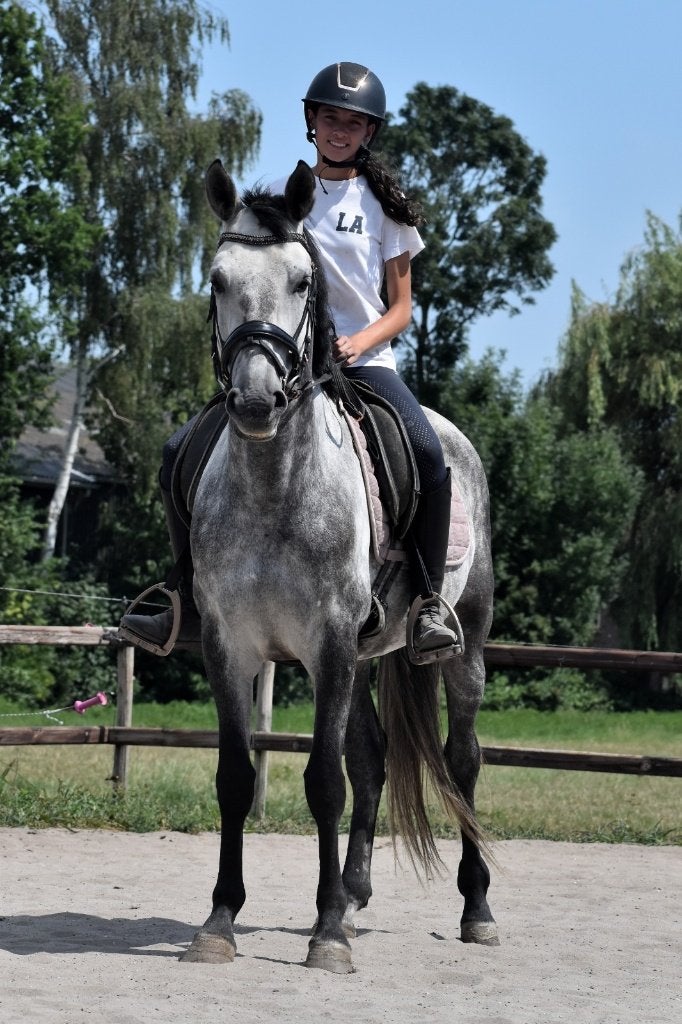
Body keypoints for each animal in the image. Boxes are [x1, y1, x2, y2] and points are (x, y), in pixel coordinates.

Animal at [182, 159, 498, 972]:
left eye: (302, 280)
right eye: (218, 280)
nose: (255, 402)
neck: (274, 487)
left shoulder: (326, 641)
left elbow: (323, 780)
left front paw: (324, 935)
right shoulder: (229, 645)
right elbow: (236, 778)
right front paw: (220, 920)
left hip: (463, 643)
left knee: (462, 760)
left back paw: (475, 908)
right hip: (360, 657)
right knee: (374, 759)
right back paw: (353, 895)